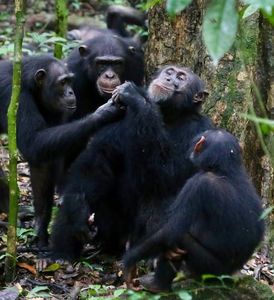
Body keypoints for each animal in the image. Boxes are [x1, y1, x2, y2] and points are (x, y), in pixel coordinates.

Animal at [0, 55, 124, 246]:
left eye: (70, 81)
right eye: (62, 82)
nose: (71, 93)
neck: (30, 84)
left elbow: (42, 156)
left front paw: (40, 230)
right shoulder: (14, 97)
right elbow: (33, 142)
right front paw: (103, 113)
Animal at [50, 65, 214, 260]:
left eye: (181, 78)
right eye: (169, 72)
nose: (168, 79)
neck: (169, 116)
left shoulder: (201, 131)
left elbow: (170, 175)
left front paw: (135, 95)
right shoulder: (120, 119)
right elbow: (98, 157)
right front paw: (77, 209)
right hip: (107, 229)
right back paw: (60, 254)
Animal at [123, 129, 264, 292]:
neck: (223, 170)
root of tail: (232, 274)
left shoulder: (195, 185)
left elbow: (170, 230)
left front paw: (129, 262)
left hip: (210, 269)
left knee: (180, 237)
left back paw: (156, 285)